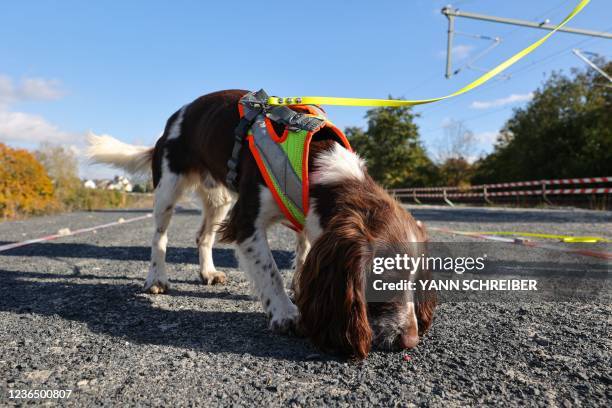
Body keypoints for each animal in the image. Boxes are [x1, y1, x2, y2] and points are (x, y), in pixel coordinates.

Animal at [87, 89, 436, 356]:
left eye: (417, 281)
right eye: (383, 281)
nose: (411, 340)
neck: (318, 166)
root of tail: (174, 118)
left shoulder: (304, 219)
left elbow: (303, 256)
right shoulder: (247, 223)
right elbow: (270, 272)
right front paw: (285, 313)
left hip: (219, 199)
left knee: (202, 236)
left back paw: (208, 272)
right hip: (168, 187)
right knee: (159, 235)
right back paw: (157, 277)